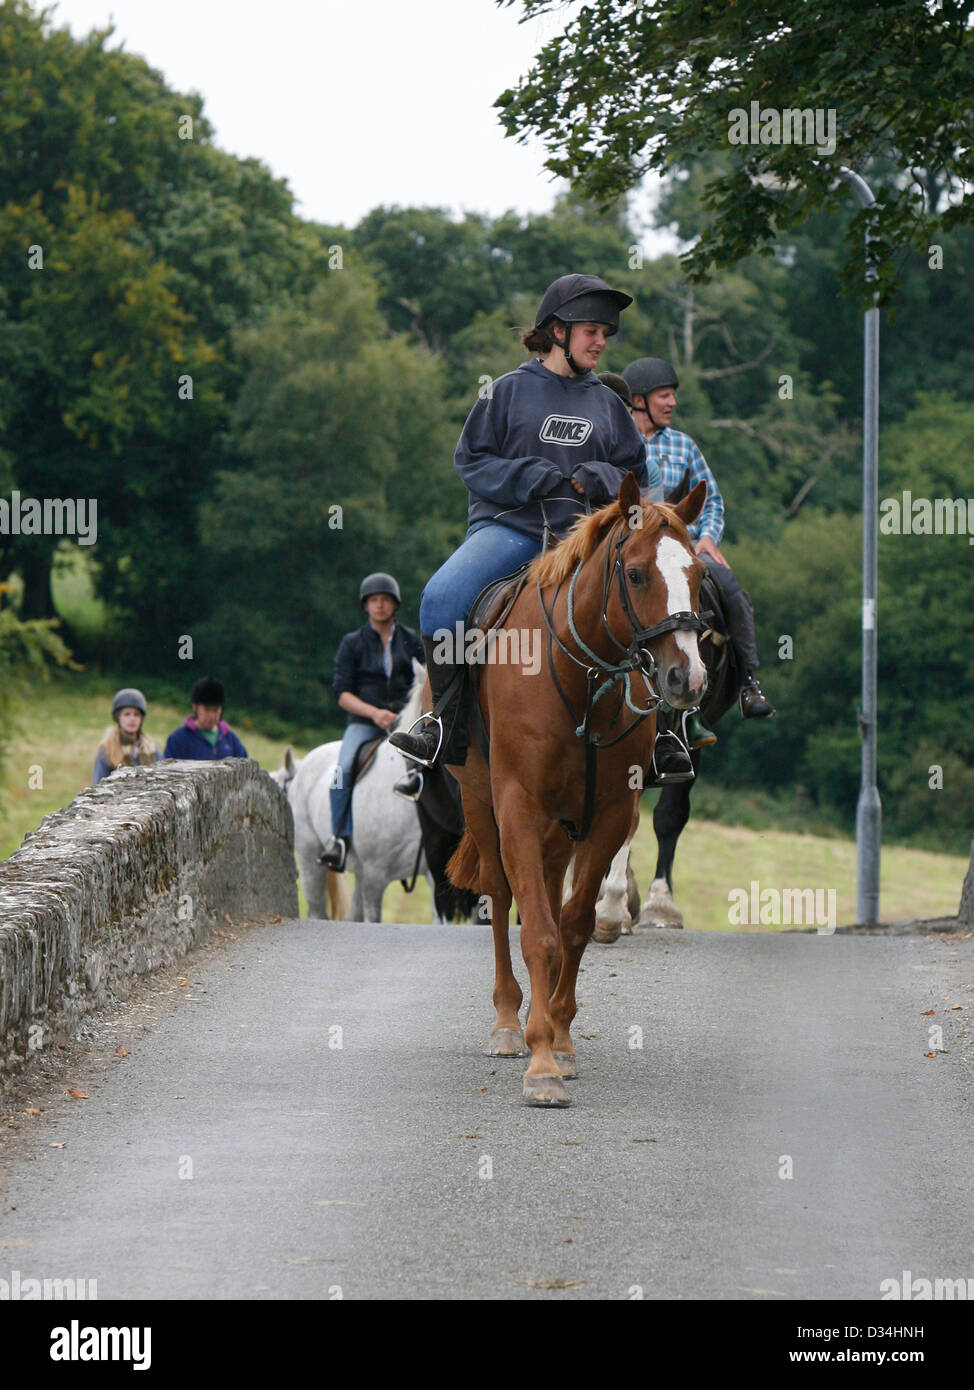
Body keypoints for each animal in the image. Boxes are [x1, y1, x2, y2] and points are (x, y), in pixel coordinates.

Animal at [444, 472, 703, 1100]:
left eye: (698, 577)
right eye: (635, 573)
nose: (687, 677)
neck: (582, 679)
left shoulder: (609, 813)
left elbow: (575, 925)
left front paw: (560, 1040)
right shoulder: (517, 806)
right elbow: (537, 930)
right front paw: (540, 1062)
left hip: (561, 829)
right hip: (481, 804)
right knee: (500, 896)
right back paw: (508, 1023)